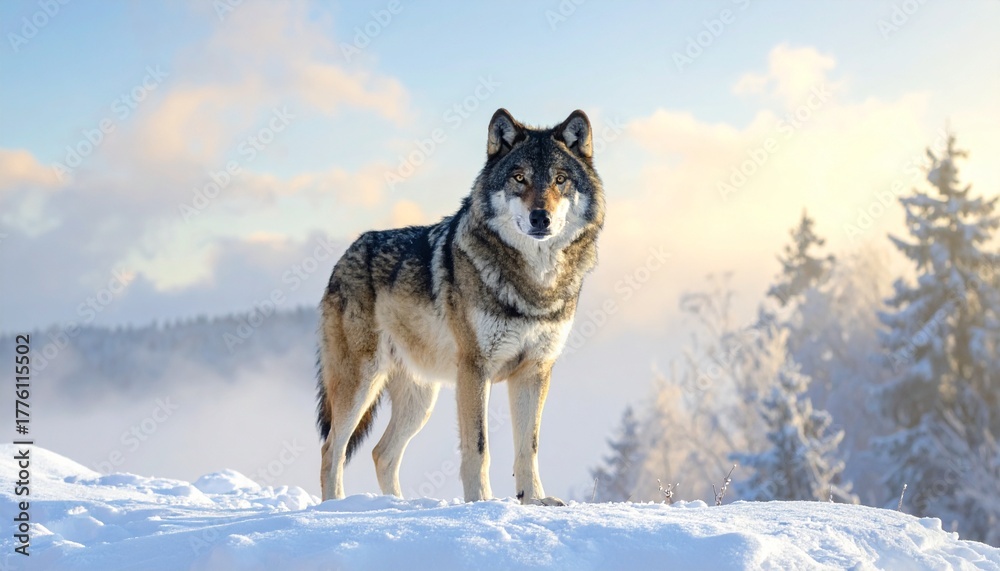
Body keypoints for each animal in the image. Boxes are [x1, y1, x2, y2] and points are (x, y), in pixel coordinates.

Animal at [316, 108, 605, 505]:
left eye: (560, 180)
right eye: (519, 178)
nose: (540, 218)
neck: (534, 284)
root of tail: (346, 254)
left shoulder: (534, 371)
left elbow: (528, 447)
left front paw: (533, 500)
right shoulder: (474, 369)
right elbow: (478, 447)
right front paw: (481, 502)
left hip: (421, 399)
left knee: (381, 453)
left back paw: (397, 507)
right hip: (361, 383)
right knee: (332, 450)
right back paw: (337, 508)